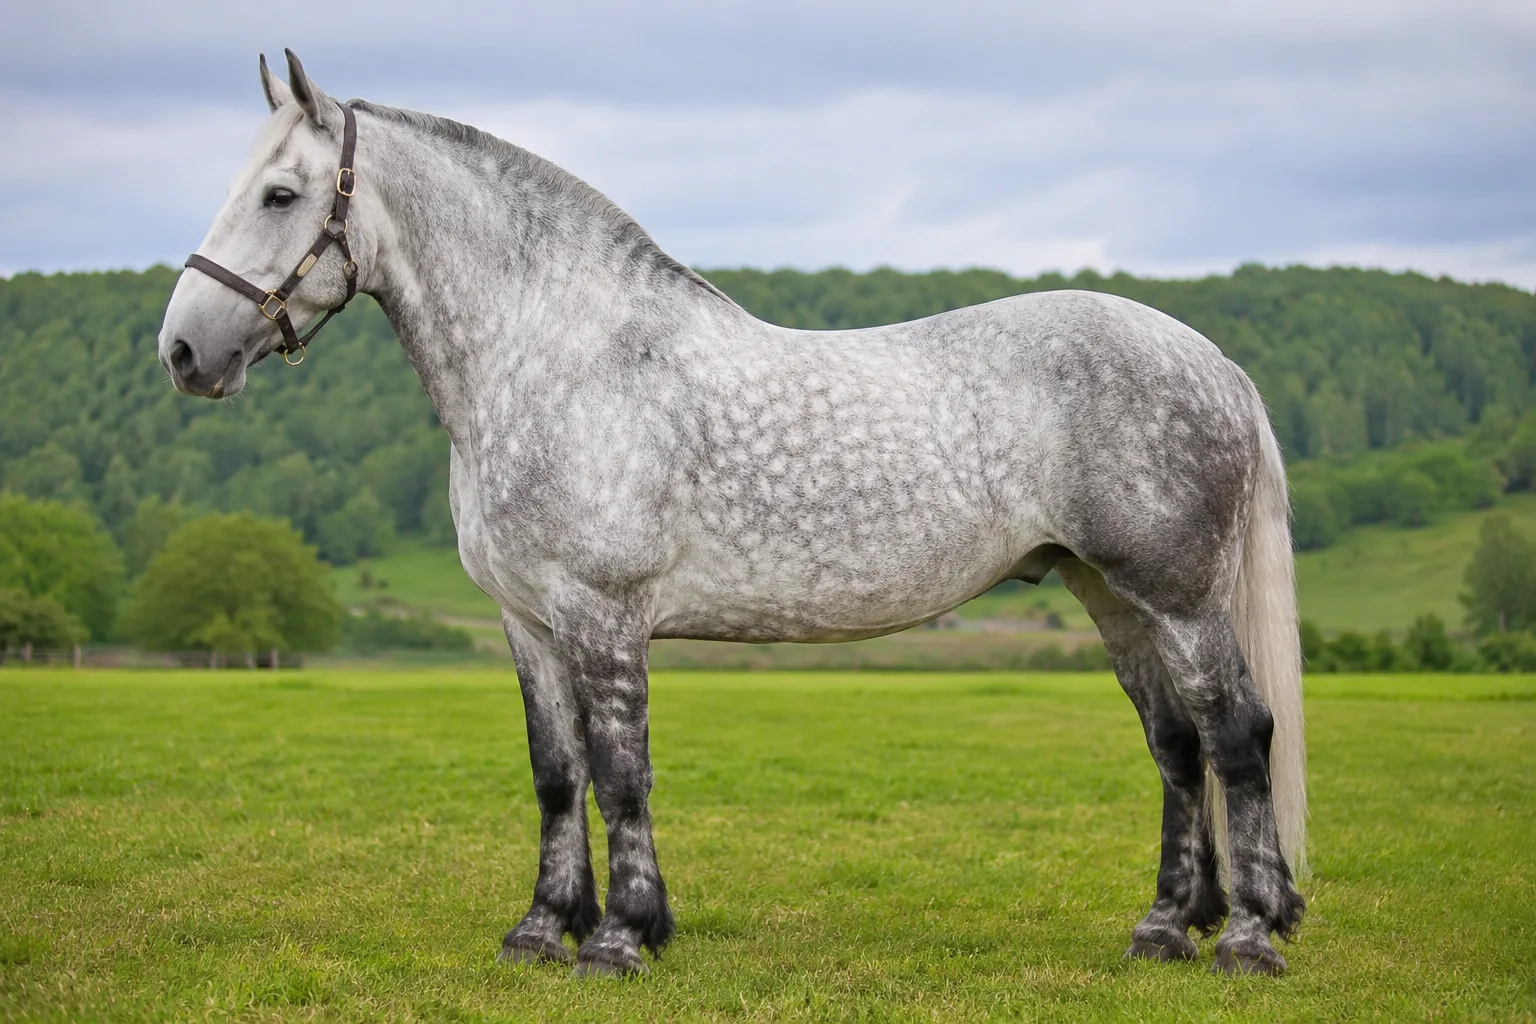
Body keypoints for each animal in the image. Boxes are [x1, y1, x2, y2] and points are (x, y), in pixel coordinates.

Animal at [159, 51, 1307, 977]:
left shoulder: (603, 615)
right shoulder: (528, 622)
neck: (562, 358)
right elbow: (556, 774)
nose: (183, 350)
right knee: (1178, 746)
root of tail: (1215, 362)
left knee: (1236, 733)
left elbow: (621, 774)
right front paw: (541, 929)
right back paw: (1166, 926)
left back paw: (1248, 937)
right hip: (1113, 596)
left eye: (280, 193)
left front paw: (622, 937)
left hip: (1179, 599)